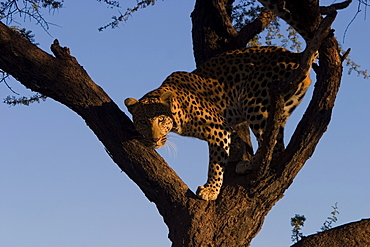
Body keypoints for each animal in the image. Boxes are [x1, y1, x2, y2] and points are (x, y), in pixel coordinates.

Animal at [125, 46, 312, 201]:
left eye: (161, 119)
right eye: (142, 122)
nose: (154, 140)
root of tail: (294, 55)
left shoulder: (217, 127)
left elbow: (215, 162)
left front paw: (210, 190)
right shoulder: (226, 124)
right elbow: (234, 139)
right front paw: (236, 152)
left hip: (254, 103)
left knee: (274, 146)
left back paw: (249, 164)